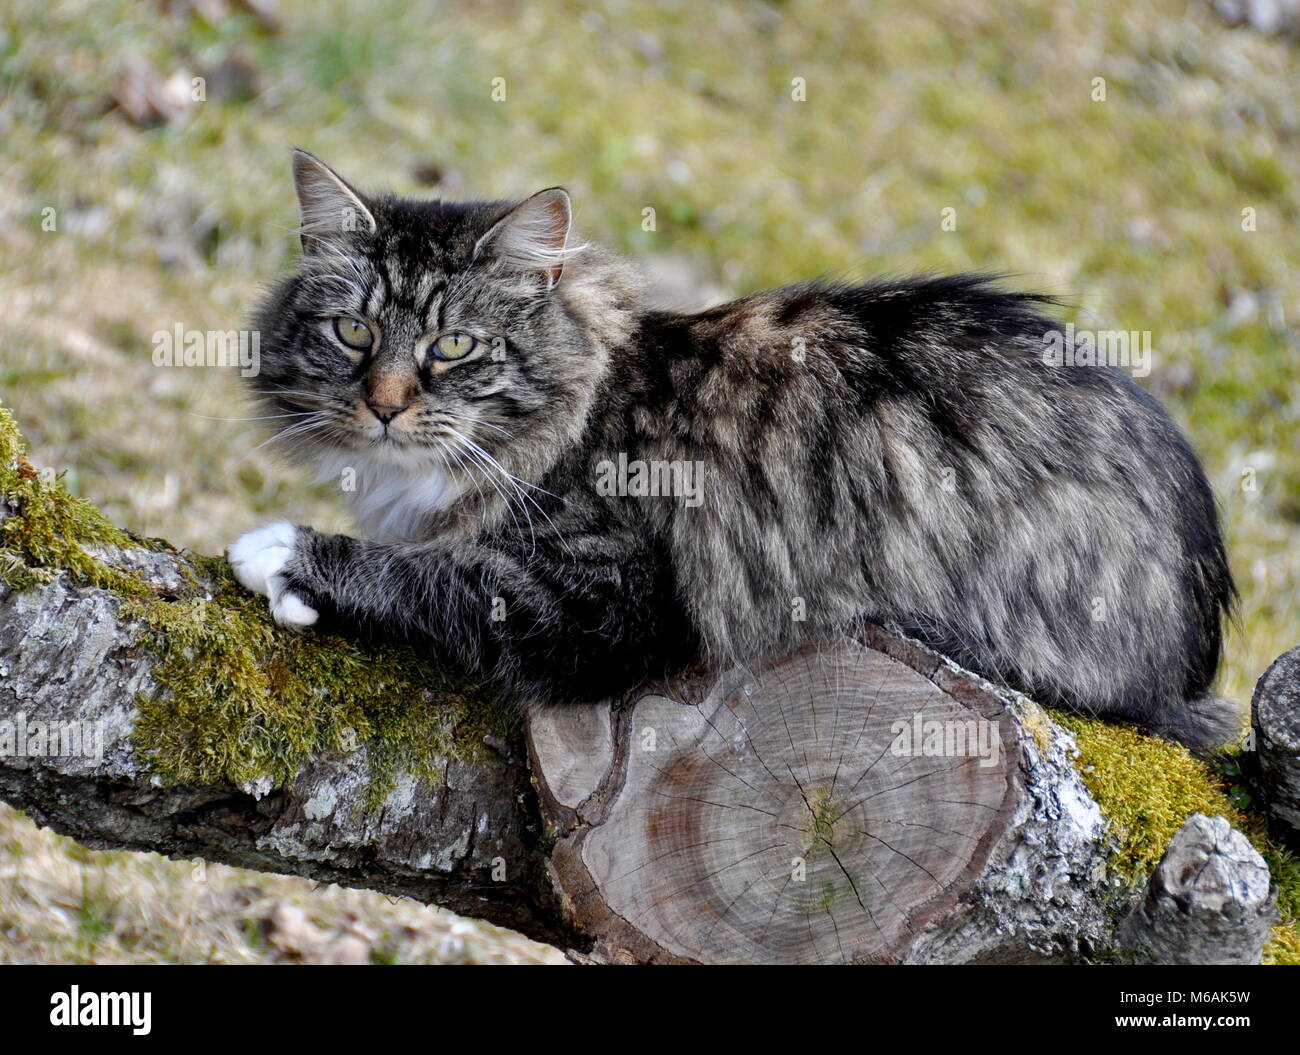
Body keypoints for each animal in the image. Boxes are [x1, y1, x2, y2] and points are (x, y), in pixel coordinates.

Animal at [226, 150, 1237, 748]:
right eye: (355, 333)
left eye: (454, 347)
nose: (385, 405)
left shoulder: (610, 593)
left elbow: (432, 574)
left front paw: (288, 554)